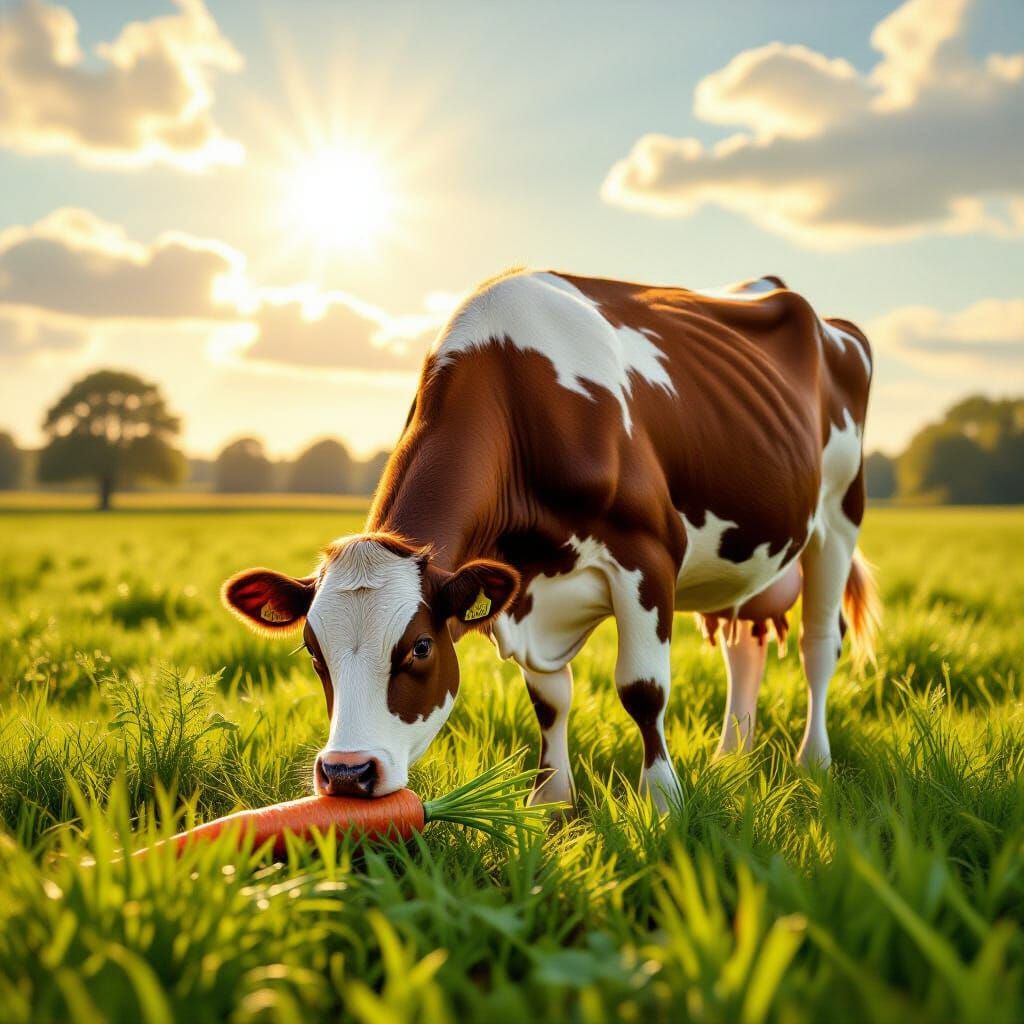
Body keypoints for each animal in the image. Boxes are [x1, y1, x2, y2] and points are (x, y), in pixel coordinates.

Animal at [222, 269, 878, 812]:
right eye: (313, 650)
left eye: (420, 648)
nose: (346, 774)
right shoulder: (519, 589)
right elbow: (550, 699)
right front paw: (551, 802)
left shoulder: (647, 557)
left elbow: (642, 690)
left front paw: (664, 802)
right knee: (745, 645)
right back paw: (731, 757)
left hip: (838, 517)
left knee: (819, 646)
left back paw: (813, 762)